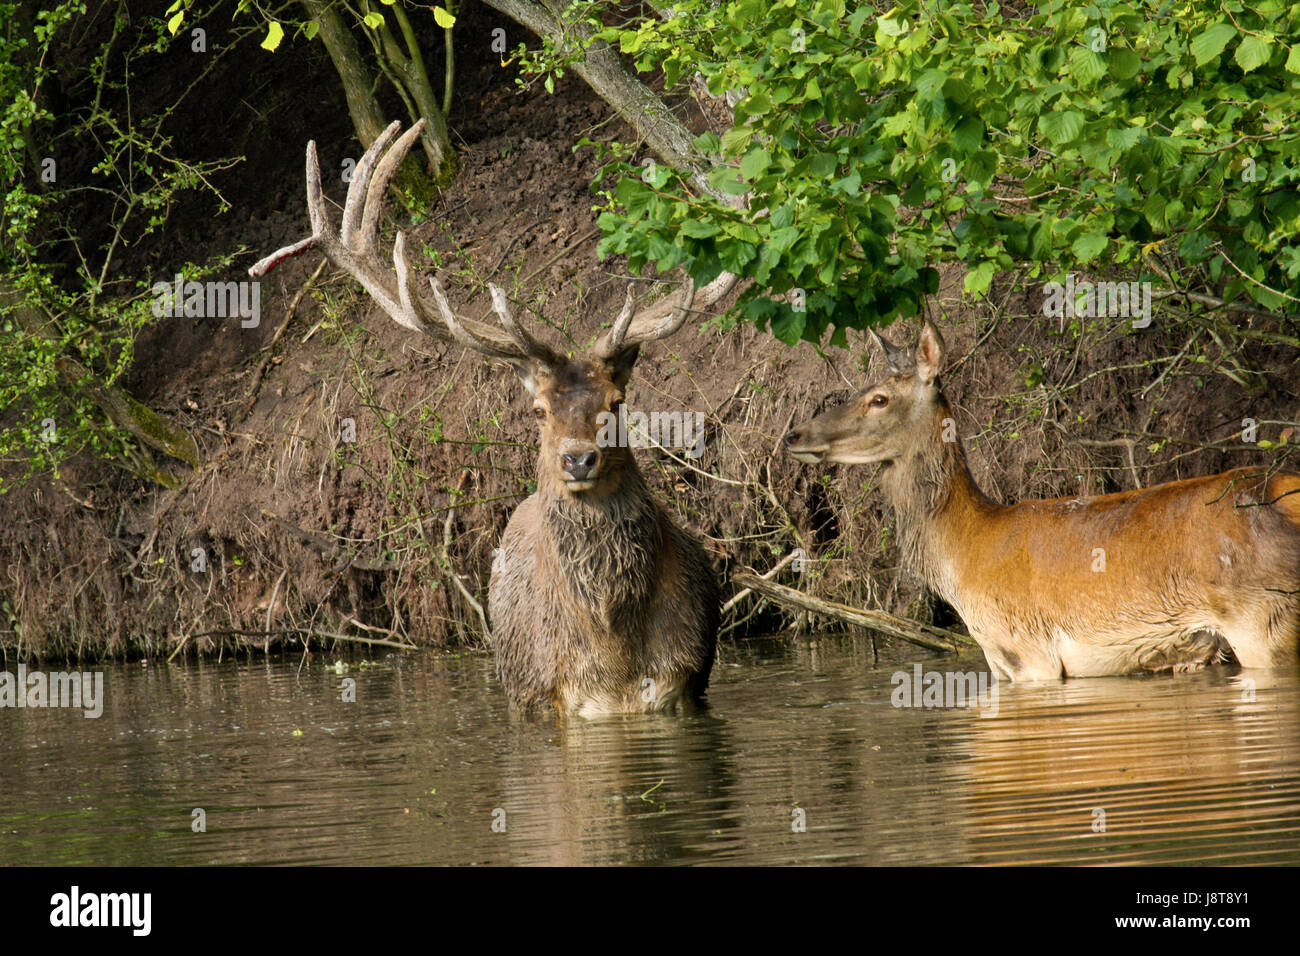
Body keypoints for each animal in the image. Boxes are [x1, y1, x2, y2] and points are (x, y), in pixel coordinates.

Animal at [248, 123, 728, 712]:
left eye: (616, 401)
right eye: (539, 410)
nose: (578, 460)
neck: (613, 653)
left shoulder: (680, 680)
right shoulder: (555, 698)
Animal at [780, 321, 1300, 681]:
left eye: (880, 399)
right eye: (860, 390)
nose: (793, 434)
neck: (962, 556)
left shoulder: (1026, 651)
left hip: (1266, 616)